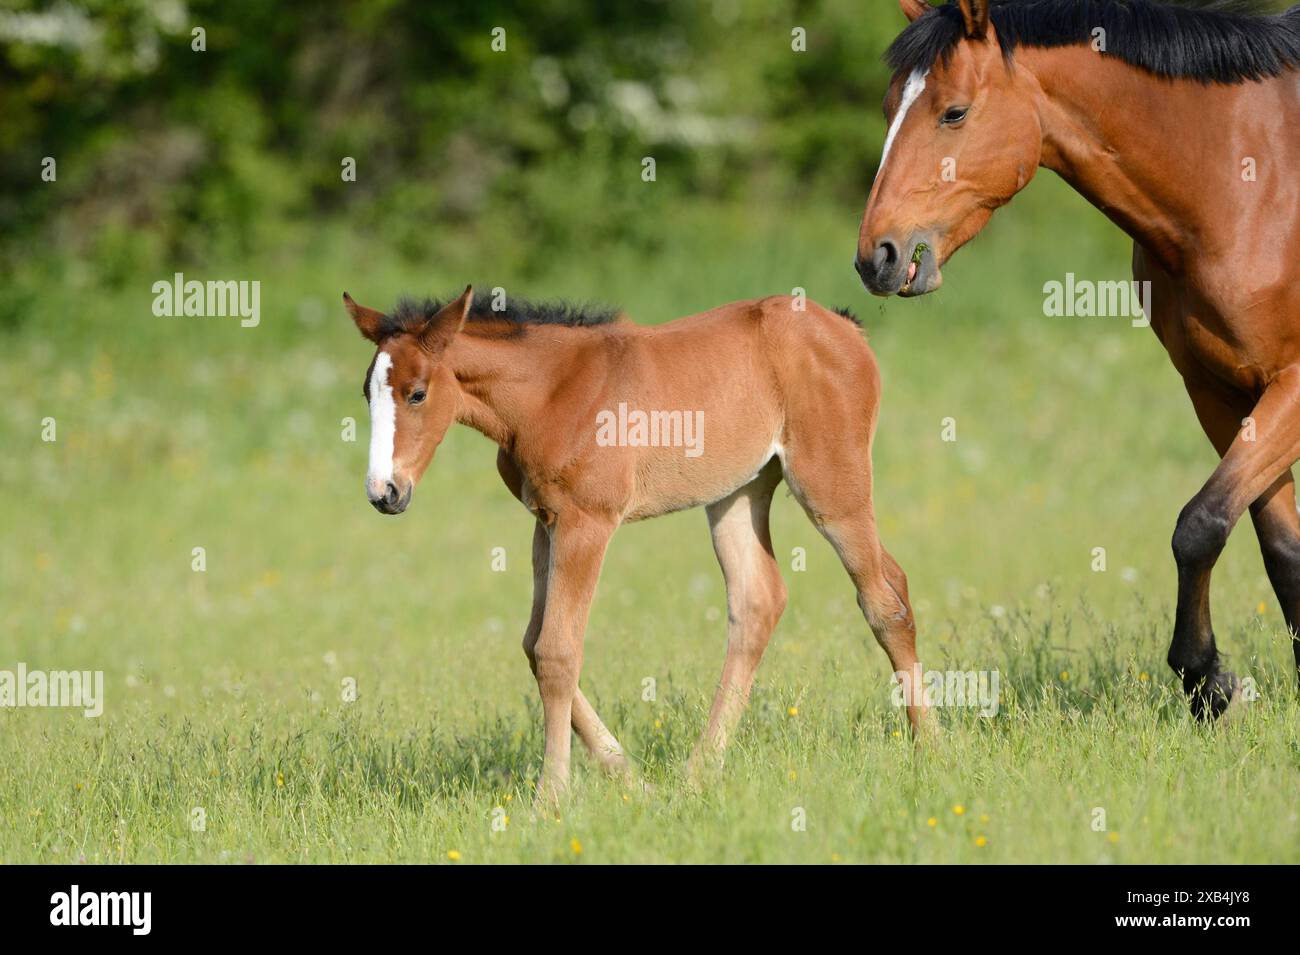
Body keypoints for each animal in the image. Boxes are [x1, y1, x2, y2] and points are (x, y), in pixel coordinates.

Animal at [342, 286, 926, 800]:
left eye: (417, 393)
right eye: (368, 393)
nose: (384, 492)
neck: (550, 392)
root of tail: (845, 327)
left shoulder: (587, 522)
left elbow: (557, 651)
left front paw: (550, 798)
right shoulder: (546, 522)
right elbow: (534, 645)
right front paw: (634, 782)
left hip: (830, 487)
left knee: (882, 600)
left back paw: (930, 747)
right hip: (739, 492)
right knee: (767, 600)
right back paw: (699, 773)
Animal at [857, 0, 1300, 720]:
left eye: (953, 112)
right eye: (892, 103)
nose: (877, 256)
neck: (1252, 182)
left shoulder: (1291, 385)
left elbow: (1200, 525)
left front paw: (1204, 678)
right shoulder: (1221, 392)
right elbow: (1280, 546)